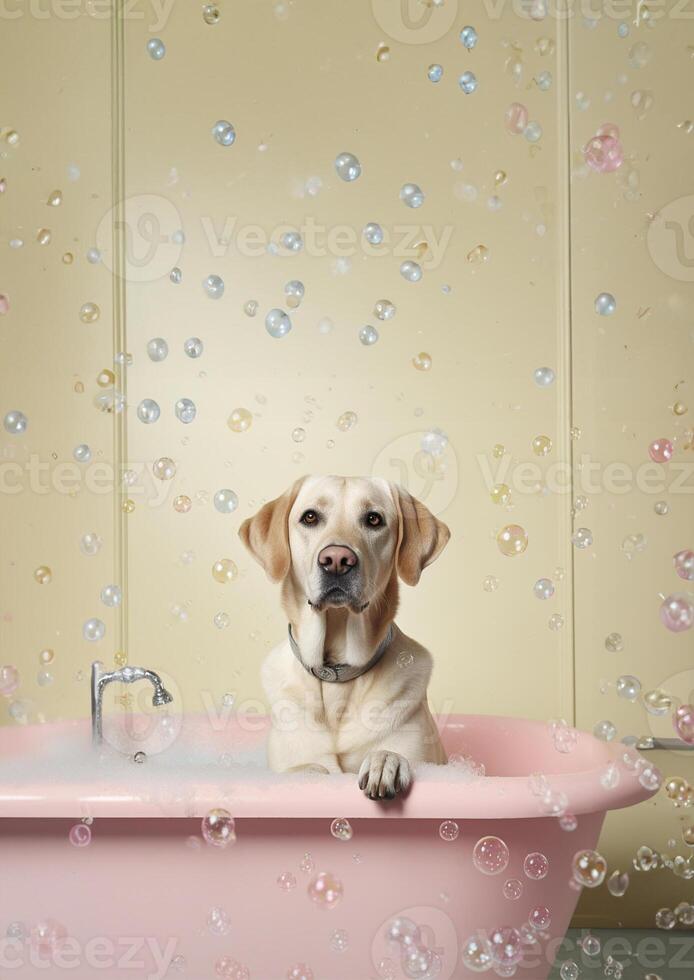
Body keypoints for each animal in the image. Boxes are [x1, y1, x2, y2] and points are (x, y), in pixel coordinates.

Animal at [242, 478, 452, 800]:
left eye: (374, 519)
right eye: (310, 517)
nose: (337, 560)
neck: (337, 674)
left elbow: (391, 753)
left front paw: (385, 763)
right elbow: (308, 768)